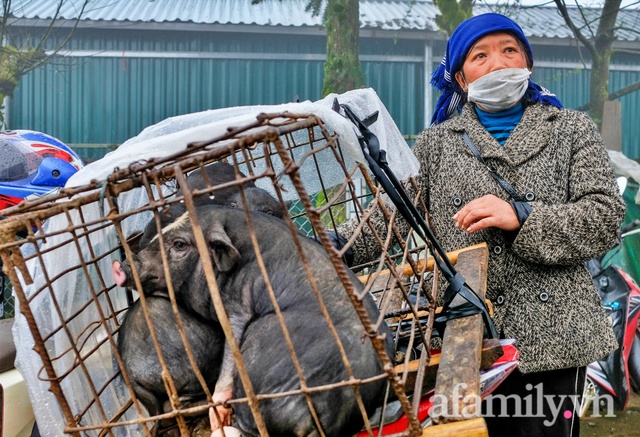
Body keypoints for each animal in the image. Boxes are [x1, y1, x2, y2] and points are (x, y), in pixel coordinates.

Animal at [117, 206, 392, 434]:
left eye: (179, 244)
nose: (120, 266)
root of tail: (312, 415)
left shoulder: (239, 305)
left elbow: (230, 352)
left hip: (258, 341)